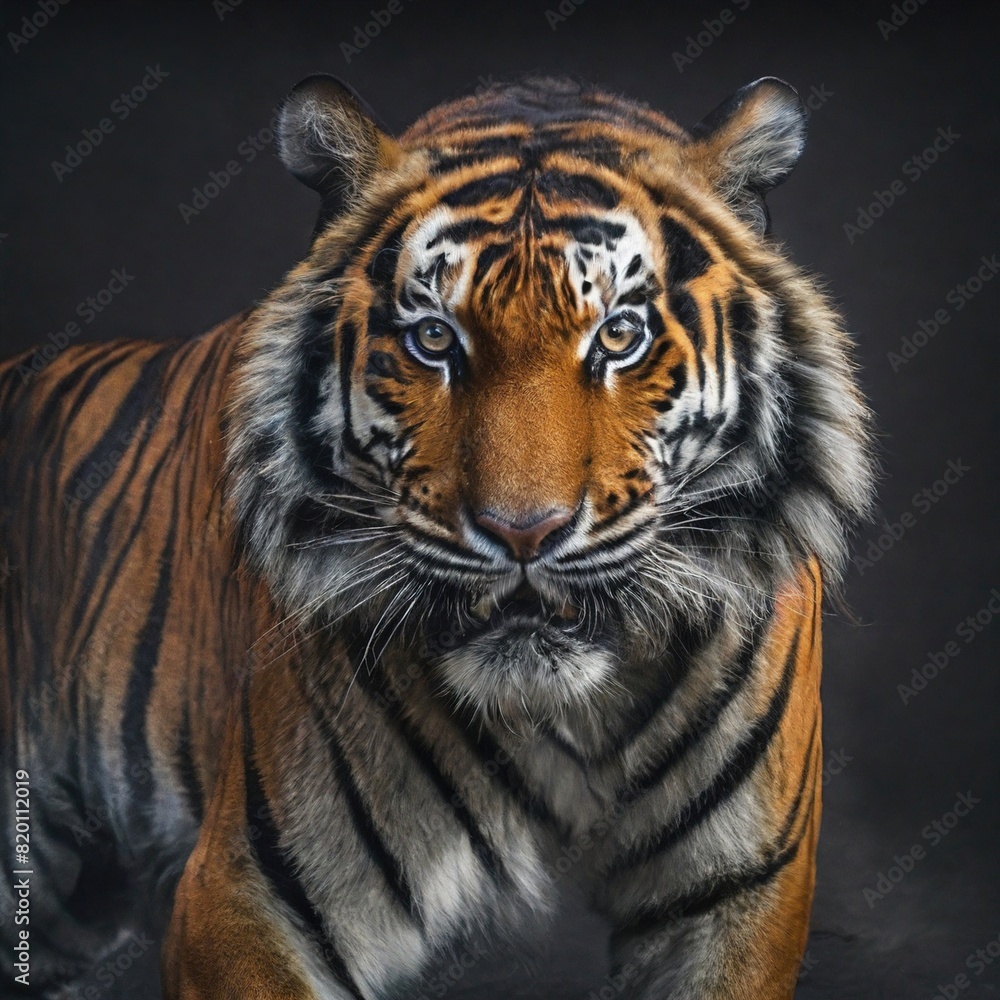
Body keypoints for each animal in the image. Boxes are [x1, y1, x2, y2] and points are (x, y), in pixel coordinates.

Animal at [0, 73, 874, 999]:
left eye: (619, 336)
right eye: (432, 340)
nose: (523, 534)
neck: (561, 719)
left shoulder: (737, 900)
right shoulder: (245, 894)